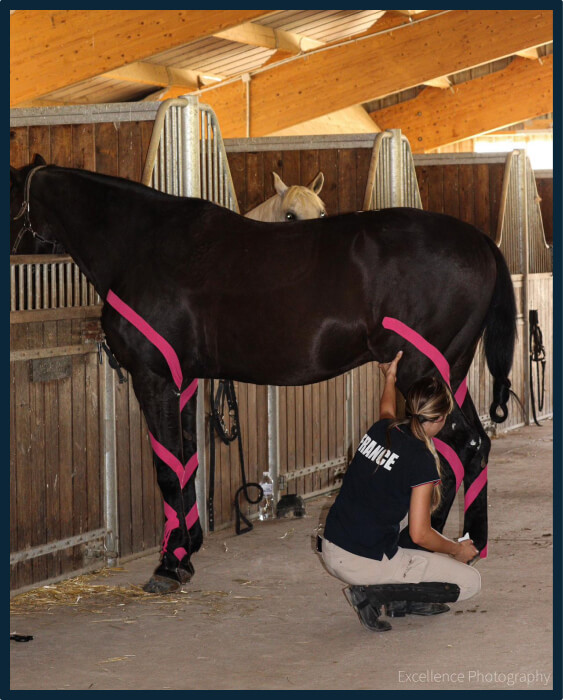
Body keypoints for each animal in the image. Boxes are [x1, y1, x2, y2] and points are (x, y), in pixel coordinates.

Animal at [10, 159, 516, 593]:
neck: (142, 245)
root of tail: (481, 242)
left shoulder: (153, 377)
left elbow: (167, 469)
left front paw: (171, 564)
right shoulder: (185, 380)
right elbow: (188, 461)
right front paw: (188, 547)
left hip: (421, 373)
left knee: (459, 448)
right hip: (449, 374)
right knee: (470, 448)